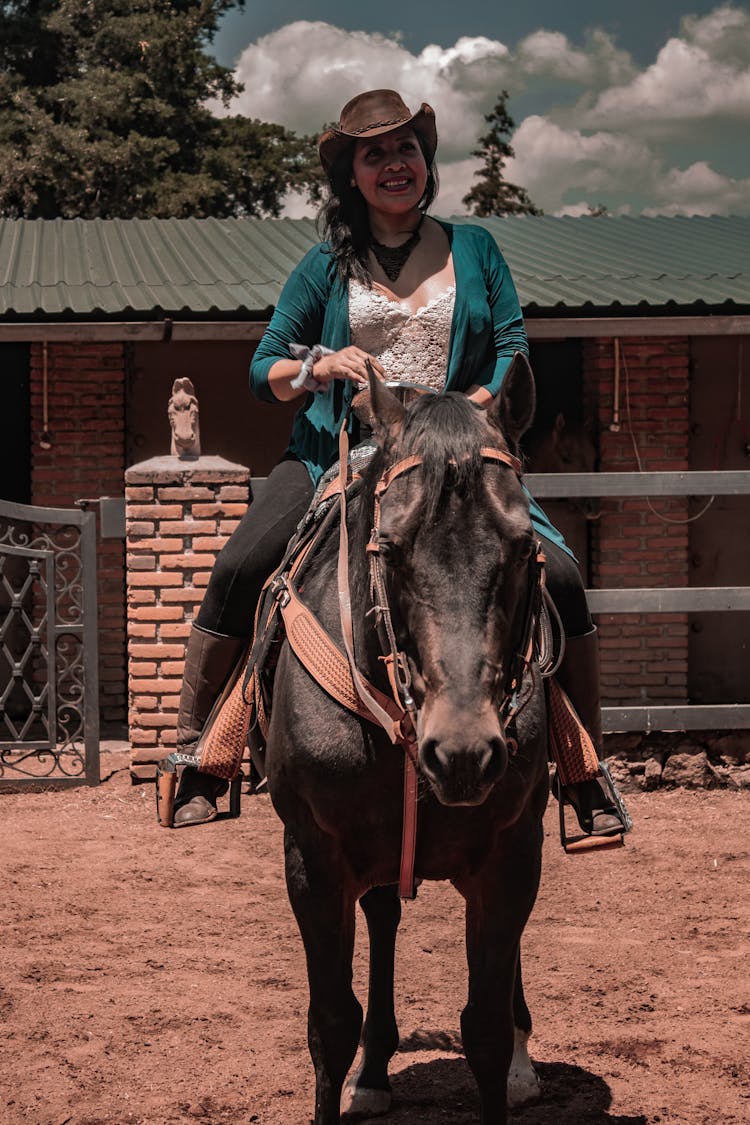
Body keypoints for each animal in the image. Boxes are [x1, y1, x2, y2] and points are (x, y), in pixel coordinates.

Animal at [266, 353, 548, 1125]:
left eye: (523, 547)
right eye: (388, 550)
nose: (464, 753)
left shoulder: (513, 851)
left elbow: (484, 1026)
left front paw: (507, 1060)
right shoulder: (314, 858)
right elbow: (330, 1024)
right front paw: (352, 1070)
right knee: (384, 914)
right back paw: (374, 1073)